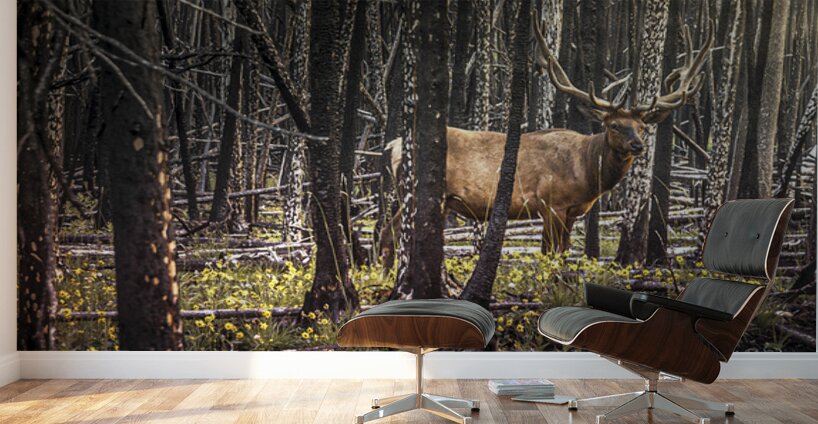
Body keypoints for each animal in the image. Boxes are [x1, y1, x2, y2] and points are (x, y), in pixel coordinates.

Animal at [379, 14, 713, 269]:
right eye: (614, 125)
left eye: (642, 127)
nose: (637, 146)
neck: (586, 173)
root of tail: (392, 146)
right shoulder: (551, 203)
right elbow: (549, 256)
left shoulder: (572, 211)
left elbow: (563, 255)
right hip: (416, 191)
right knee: (388, 233)